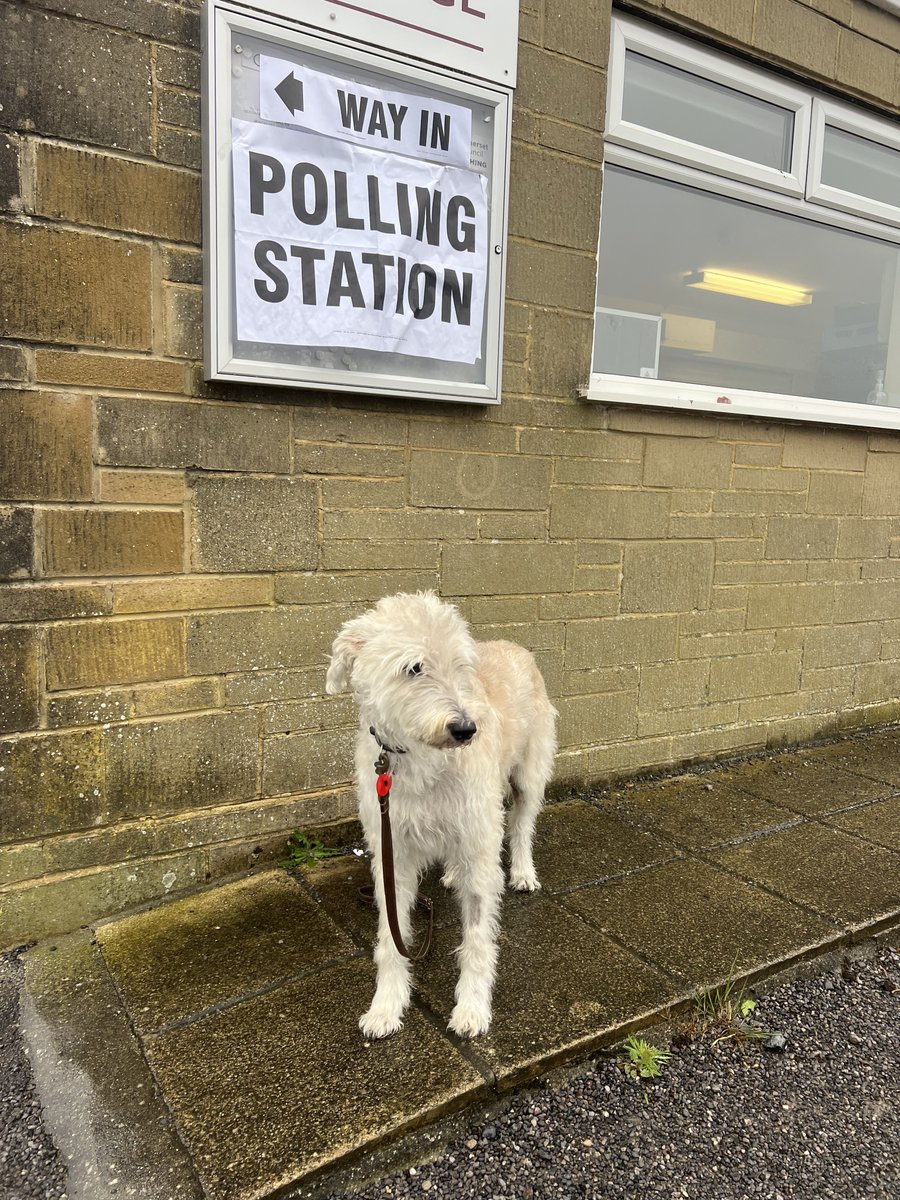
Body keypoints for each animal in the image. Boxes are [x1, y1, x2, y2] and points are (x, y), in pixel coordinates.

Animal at [328, 592, 556, 1041]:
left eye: (463, 666)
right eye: (415, 667)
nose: (467, 729)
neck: (419, 757)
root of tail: (517, 646)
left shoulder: (480, 840)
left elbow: (477, 939)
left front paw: (472, 1008)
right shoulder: (391, 851)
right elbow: (391, 937)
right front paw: (386, 1005)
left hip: (529, 774)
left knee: (522, 825)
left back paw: (522, 871)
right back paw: (453, 873)